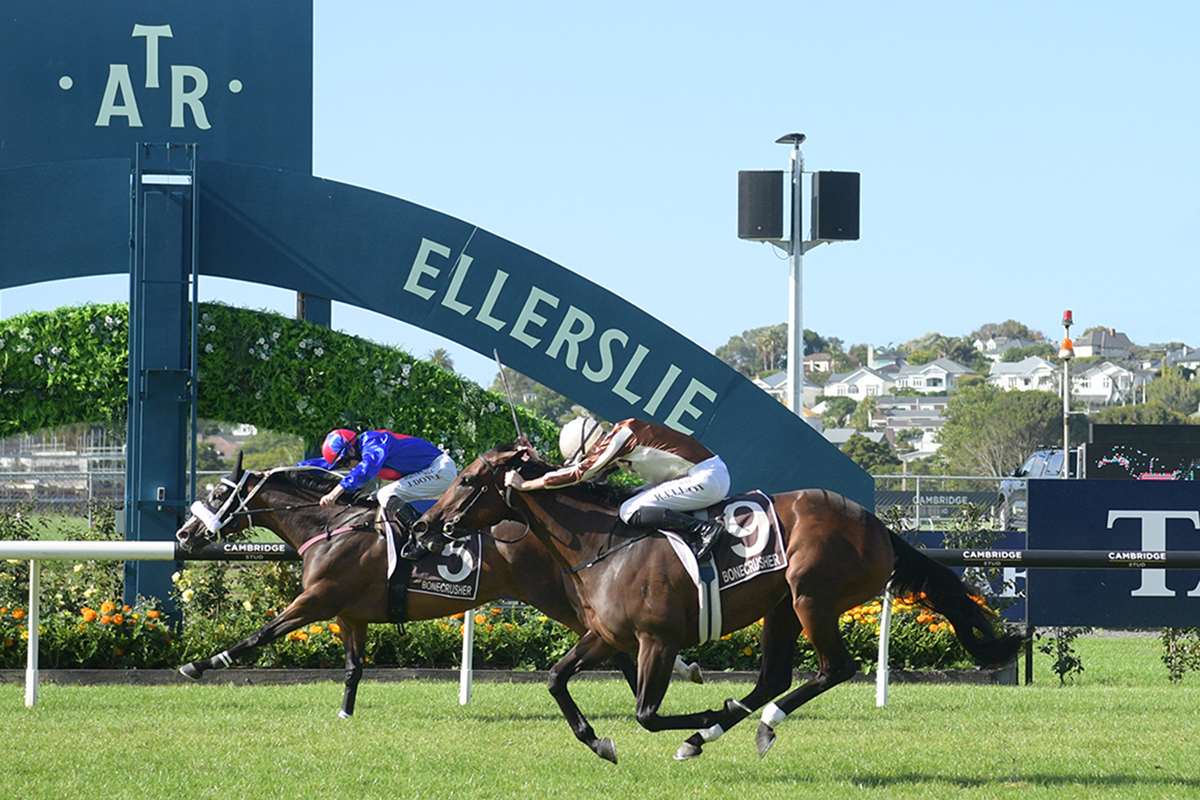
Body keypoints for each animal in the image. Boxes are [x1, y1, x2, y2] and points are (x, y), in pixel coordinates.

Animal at [171, 460, 700, 724]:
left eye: (218, 494)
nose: (183, 535)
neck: (332, 526)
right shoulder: (348, 614)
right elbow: (353, 668)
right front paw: (345, 713)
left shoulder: (316, 601)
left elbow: (259, 635)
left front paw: (197, 665)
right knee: (617, 645)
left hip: (555, 598)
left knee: (618, 642)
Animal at [415, 443, 1022, 762]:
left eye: (468, 479)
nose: (423, 526)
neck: (604, 544)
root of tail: (878, 527)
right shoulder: (607, 636)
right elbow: (556, 678)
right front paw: (598, 740)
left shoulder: (657, 640)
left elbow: (646, 713)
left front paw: (699, 714)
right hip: (782, 607)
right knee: (774, 676)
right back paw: (718, 728)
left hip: (812, 596)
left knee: (833, 668)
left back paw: (752, 724)